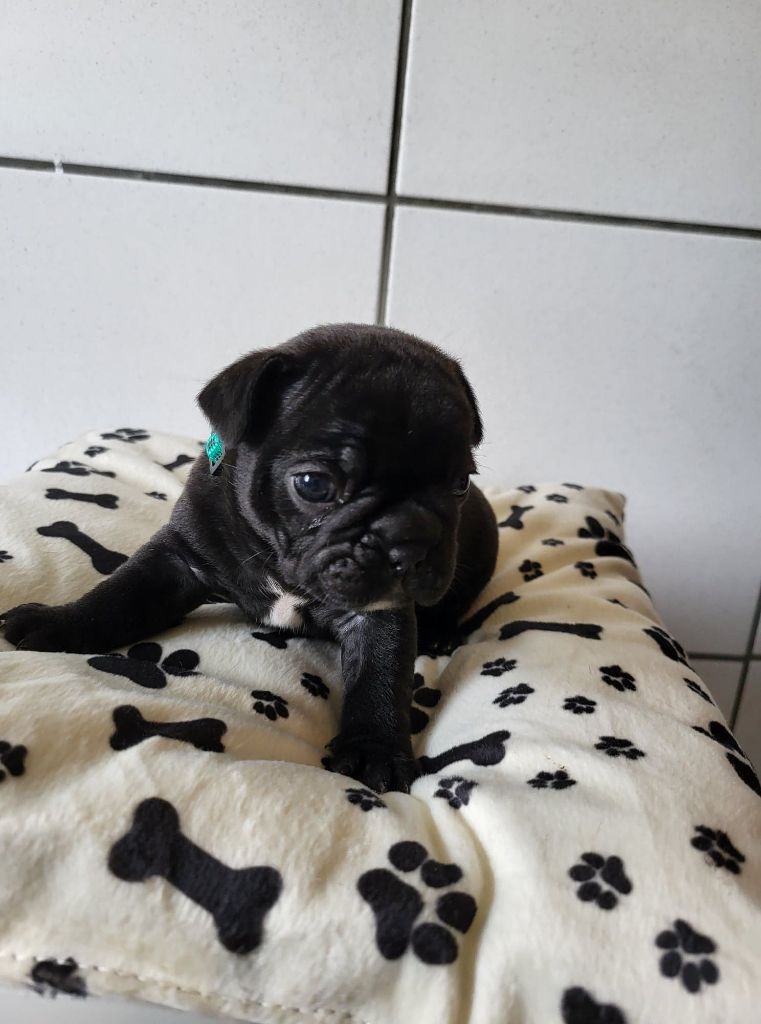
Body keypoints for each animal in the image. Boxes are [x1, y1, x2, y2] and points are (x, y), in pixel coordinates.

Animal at [1, 324, 498, 793]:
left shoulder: (379, 609)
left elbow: (381, 676)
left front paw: (374, 753)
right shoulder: (178, 560)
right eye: (314, 484)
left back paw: (440, 635)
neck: (281, 564)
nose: (409, 541)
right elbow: (117, 596)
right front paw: (56, 622)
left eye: (460, 484)